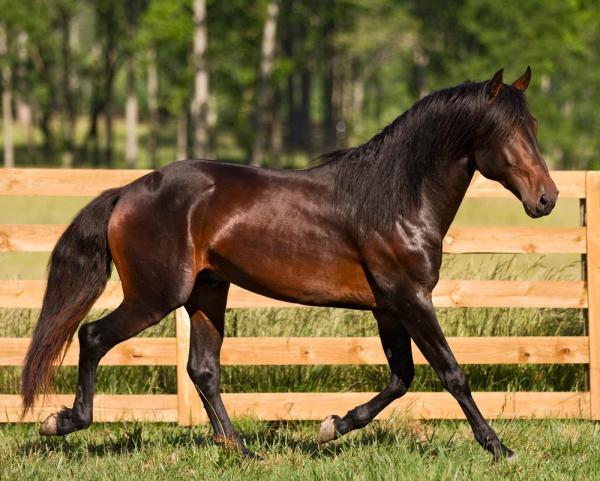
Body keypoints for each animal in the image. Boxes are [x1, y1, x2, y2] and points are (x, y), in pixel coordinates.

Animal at [22, 65, 556, 460]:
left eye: (533, 127)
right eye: (504, 132)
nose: (546, 199)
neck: (396, 200)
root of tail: (128, 191)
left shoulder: (388, 308)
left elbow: (401, 379)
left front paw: (331, 425)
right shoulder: (410, 300)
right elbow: (452, 373)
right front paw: (499, 448)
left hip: (207, 292)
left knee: (203, 370)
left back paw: (241, 450)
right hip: (155, 297)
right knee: (92, 337)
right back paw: (62, 421)